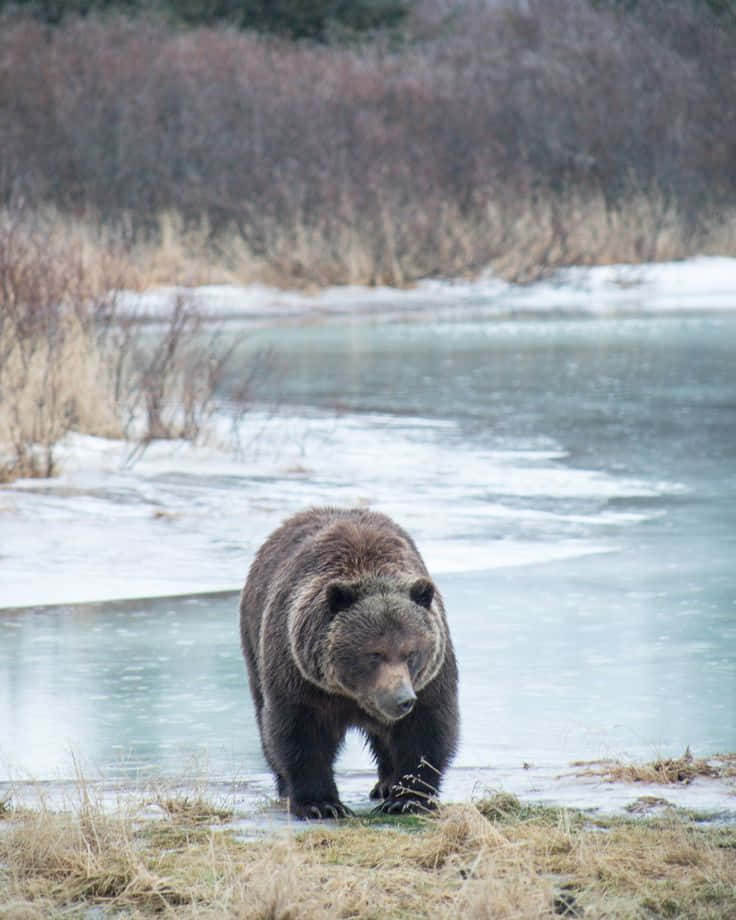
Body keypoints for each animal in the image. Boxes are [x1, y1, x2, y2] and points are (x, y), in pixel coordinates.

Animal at [239, 507, 459, 819]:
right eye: (374, 653)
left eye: (411, 652)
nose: (402, 699)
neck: (351, 694)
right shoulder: (300, 677)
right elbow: (299, 732)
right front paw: (321, 804)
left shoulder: (431, 678)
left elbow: (426, 728)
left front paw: (407, 798)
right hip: (254, 643)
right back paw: (284, 788)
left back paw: (385, 784)